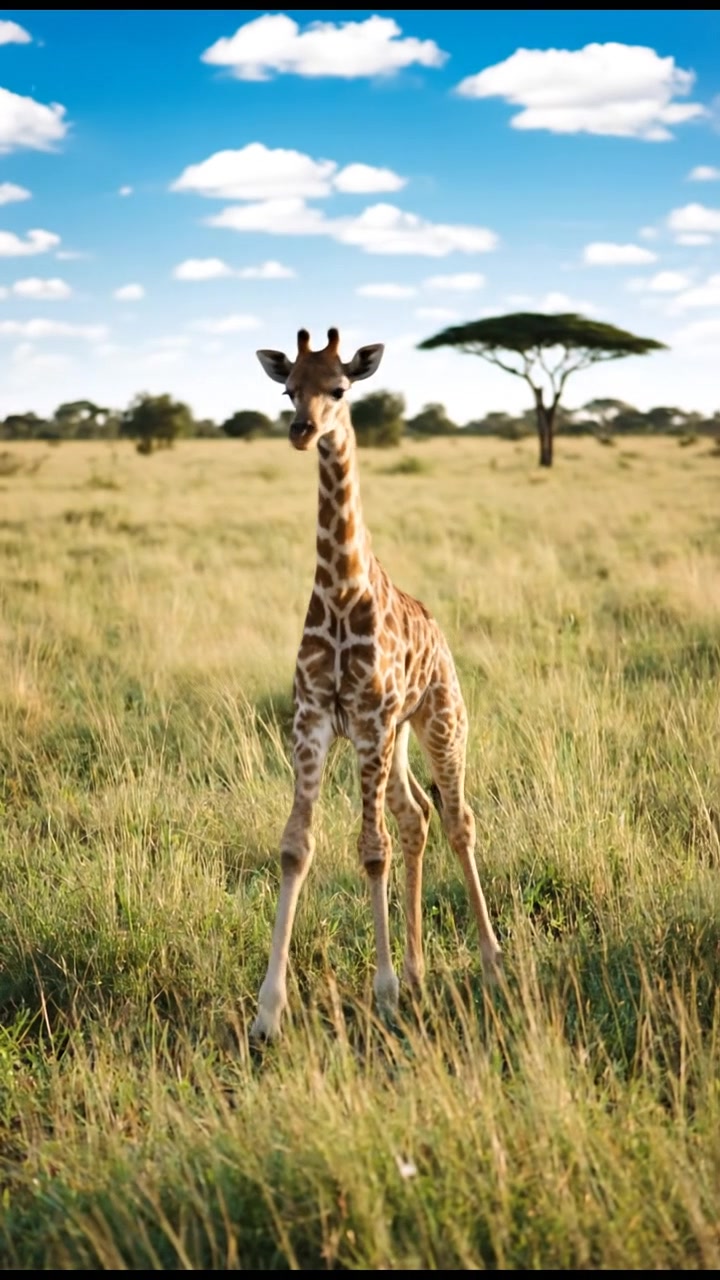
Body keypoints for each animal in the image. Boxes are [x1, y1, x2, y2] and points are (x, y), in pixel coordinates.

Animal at [251, 326, 502, 1041]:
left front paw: (384, 995)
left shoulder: (367, 720)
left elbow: (371, 849)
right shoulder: (313, 720)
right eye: (287, 388)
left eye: (340, 388)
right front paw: (267, 1012)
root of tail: (441, 634)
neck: (340, 590)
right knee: (416, 815)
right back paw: (418, 972)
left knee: (457, 820)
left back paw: (491, 964)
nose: (303, 430)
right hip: (397, 741)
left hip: (438, 721)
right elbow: (296, 848)